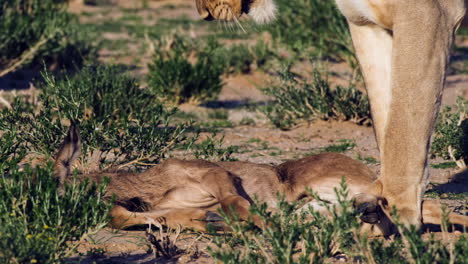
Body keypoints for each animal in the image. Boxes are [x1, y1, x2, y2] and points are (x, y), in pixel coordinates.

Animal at [53, 121, 466, 235]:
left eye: (54, 181)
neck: (157, 185)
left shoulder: (217, 177)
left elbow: (236, 204)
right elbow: (132, 216)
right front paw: (206, 221)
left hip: (325, 188)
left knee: (414, 204)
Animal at [193, 0, 464, 231]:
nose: (205, 14)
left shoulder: (428, 13)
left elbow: (405, 122)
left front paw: (397, 211)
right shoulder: (365, 23)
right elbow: (386, 121)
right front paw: (375, 201)